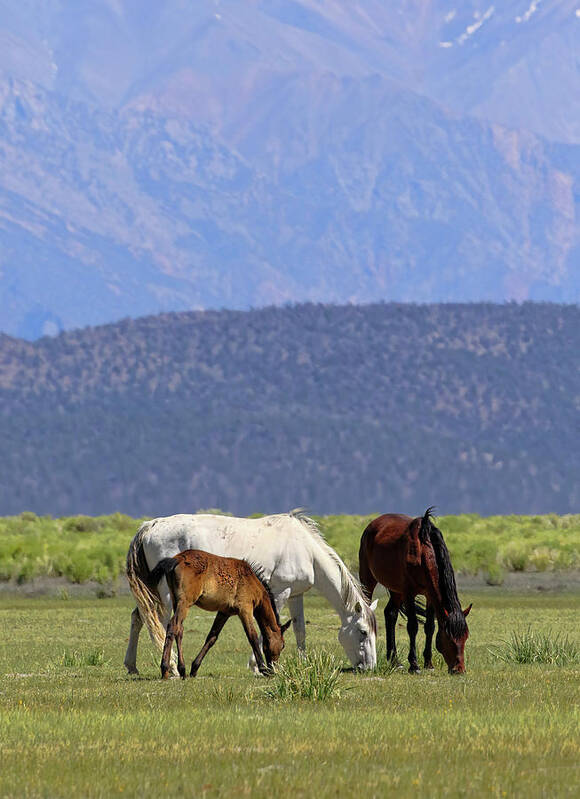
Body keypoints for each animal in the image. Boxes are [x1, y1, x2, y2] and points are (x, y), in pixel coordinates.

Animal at [148, 552, 290, 680]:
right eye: (283, 645)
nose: (273, 668)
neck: (253, 583)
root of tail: (177, 559)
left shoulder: (224, 612)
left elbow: (212, 637)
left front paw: (194, 668)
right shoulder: (245, 609)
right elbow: (252, 636)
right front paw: (262, 669)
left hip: (176, 601)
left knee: (179, 629)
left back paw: (182, 670)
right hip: (185, 602)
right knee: (174, 626)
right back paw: (166, 669)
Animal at [358, 510, 472, 672]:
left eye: (465, 637)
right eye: (450, 638)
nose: (459, 669)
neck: (422, 552)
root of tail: (372, 525)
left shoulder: (429, 595)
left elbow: (429, 627)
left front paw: (428, 663)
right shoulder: (409, 593)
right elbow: (413, 626)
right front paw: (414, 665)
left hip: (396, 591)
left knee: (390, 614)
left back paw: (395, 661)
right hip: (368, 580)